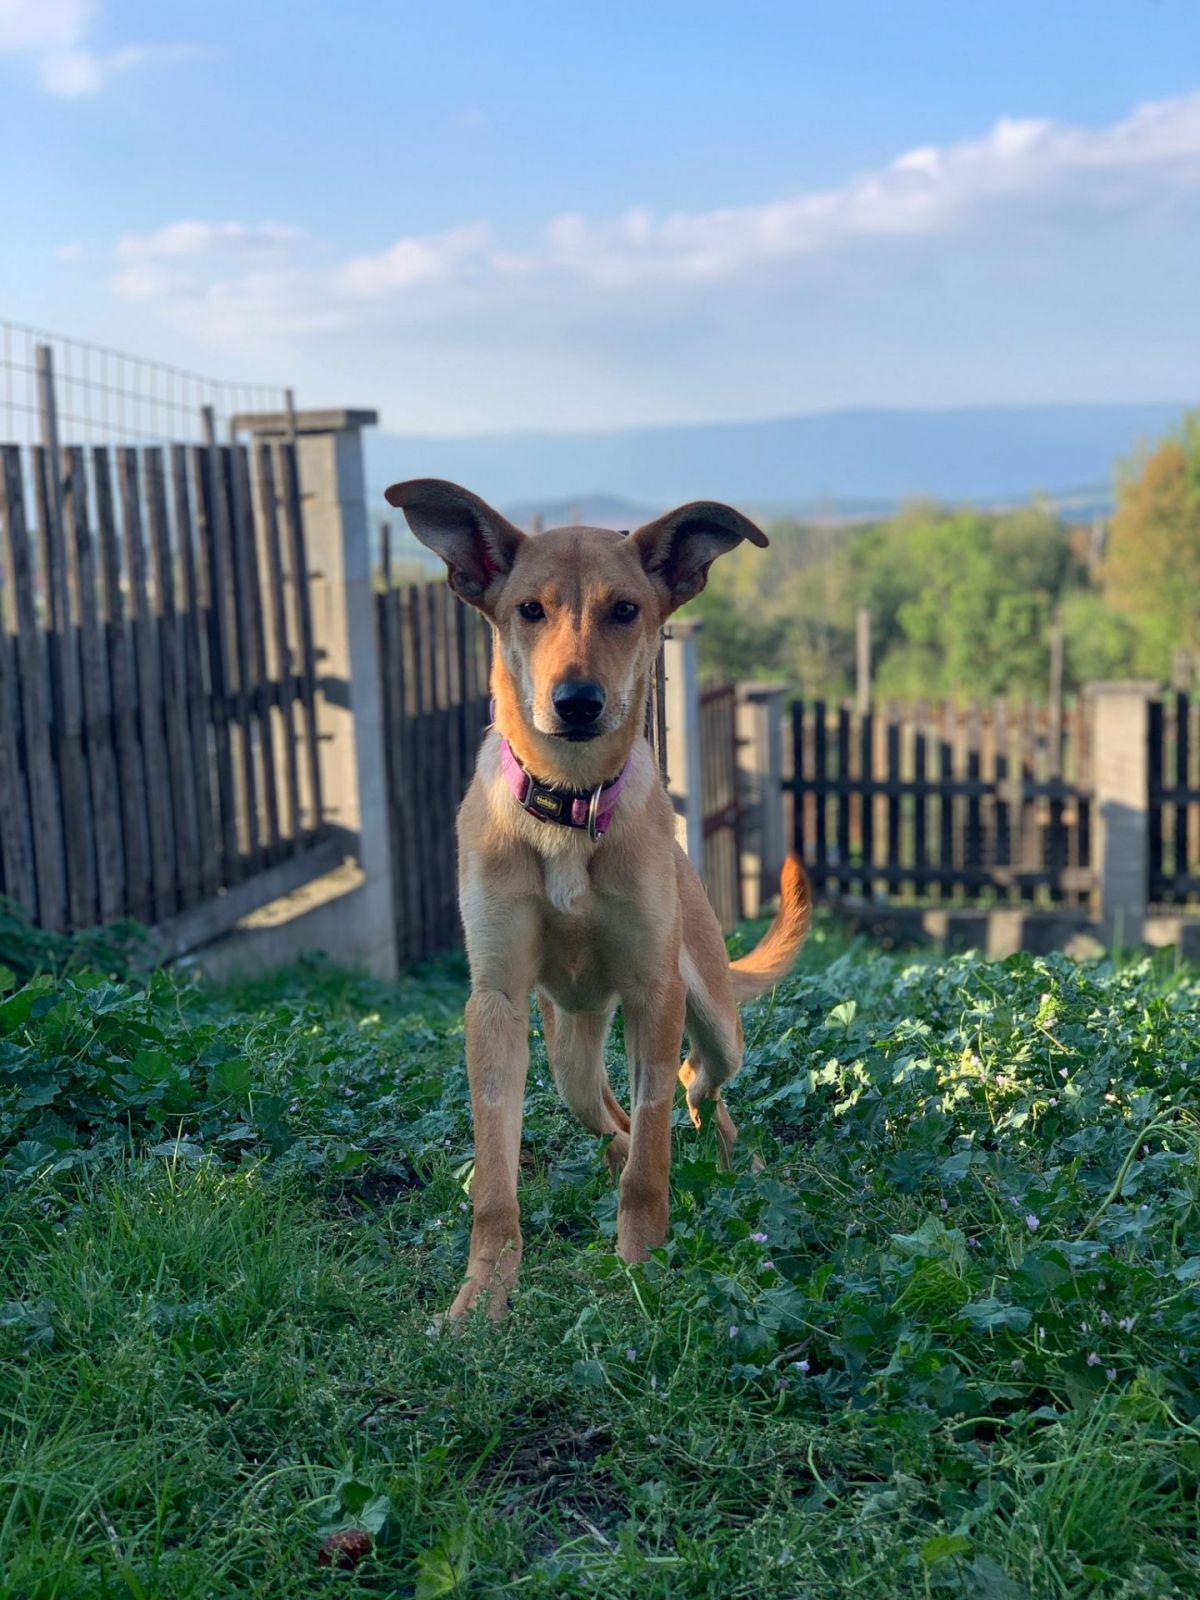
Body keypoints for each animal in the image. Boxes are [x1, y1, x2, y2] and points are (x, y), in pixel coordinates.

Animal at [384, 479, 810, 1321]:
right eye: (529, 610)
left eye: (625, 610)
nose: (577, 702)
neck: (568, 806)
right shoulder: (496, 1003)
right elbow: (495, 1180)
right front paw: (482, 1295)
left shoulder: (652, 991)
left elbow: (651, 1158)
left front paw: (641, 1266)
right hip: (568, 1054)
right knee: (608, 1117)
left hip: (709, 1012)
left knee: (697, 1084)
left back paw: (723, 1155)